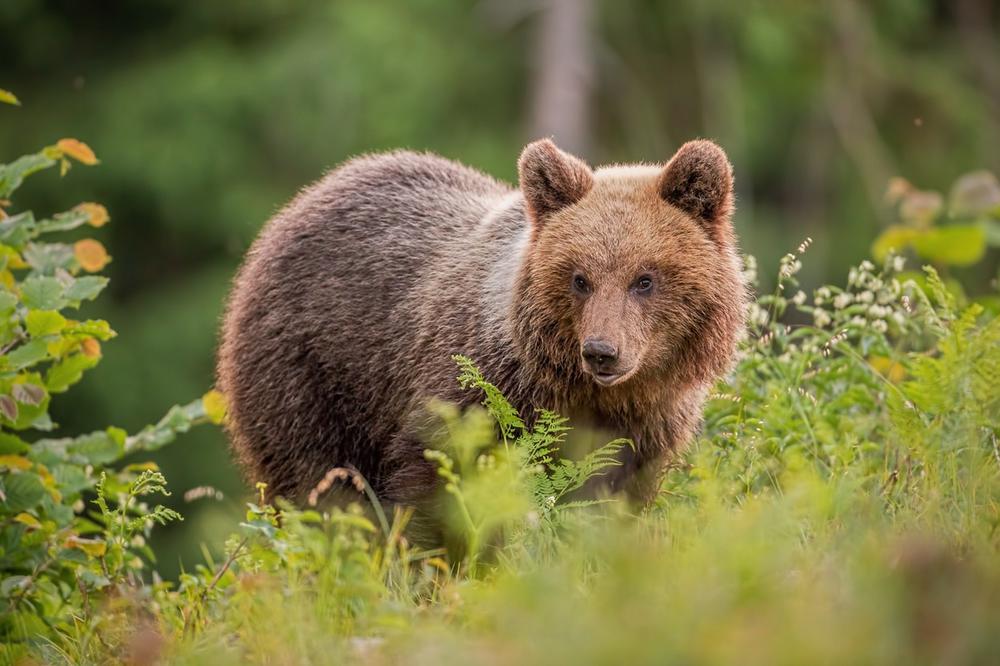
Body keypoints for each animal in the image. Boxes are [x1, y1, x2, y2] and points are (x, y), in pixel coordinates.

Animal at [221, 137, 752, 512]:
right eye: (580, 278)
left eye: (644, 279)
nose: (602, 351)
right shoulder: (478, 391)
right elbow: (439, 480)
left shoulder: (648, 425)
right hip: (311, 372)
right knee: (316, 480)